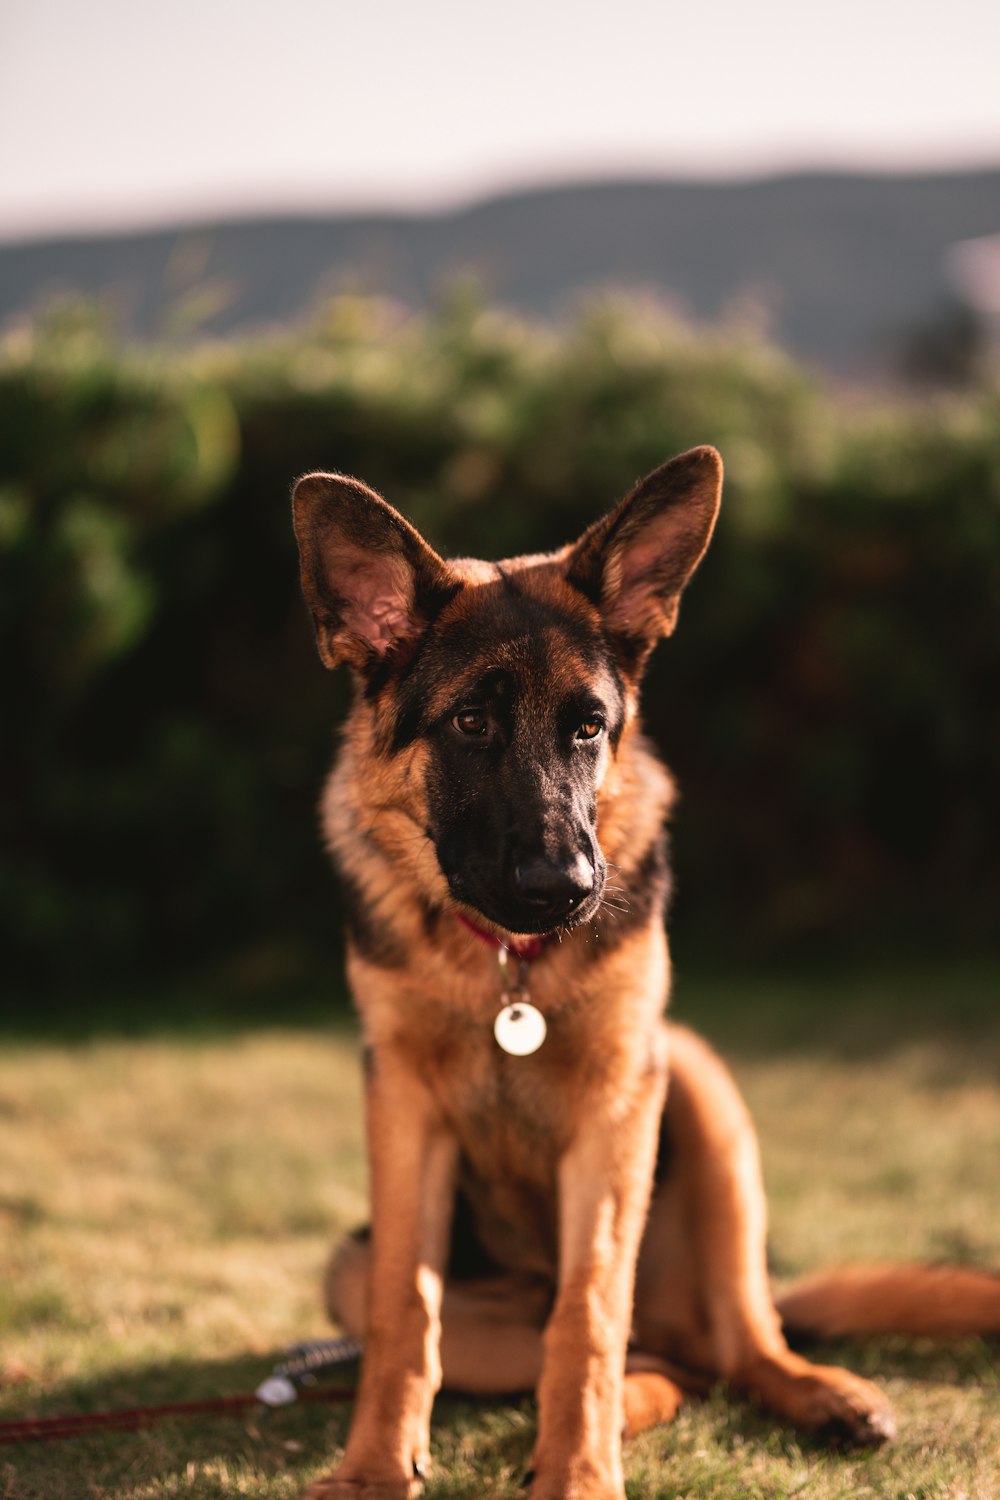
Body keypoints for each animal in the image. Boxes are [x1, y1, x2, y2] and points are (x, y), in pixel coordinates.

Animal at [290, 447, 1000, 1500]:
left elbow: (587, 1314)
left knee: (731, 1341)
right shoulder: (402, 1102)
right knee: (667, 1360)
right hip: (361, 1264)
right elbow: (404, 1312)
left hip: (700, 1090)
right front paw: (376, 1466)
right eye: (470, 723)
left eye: (590, 727)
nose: (567, 889)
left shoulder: (621, 1098)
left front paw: (581, 1474)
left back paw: (798, 1392)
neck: (506, 972)